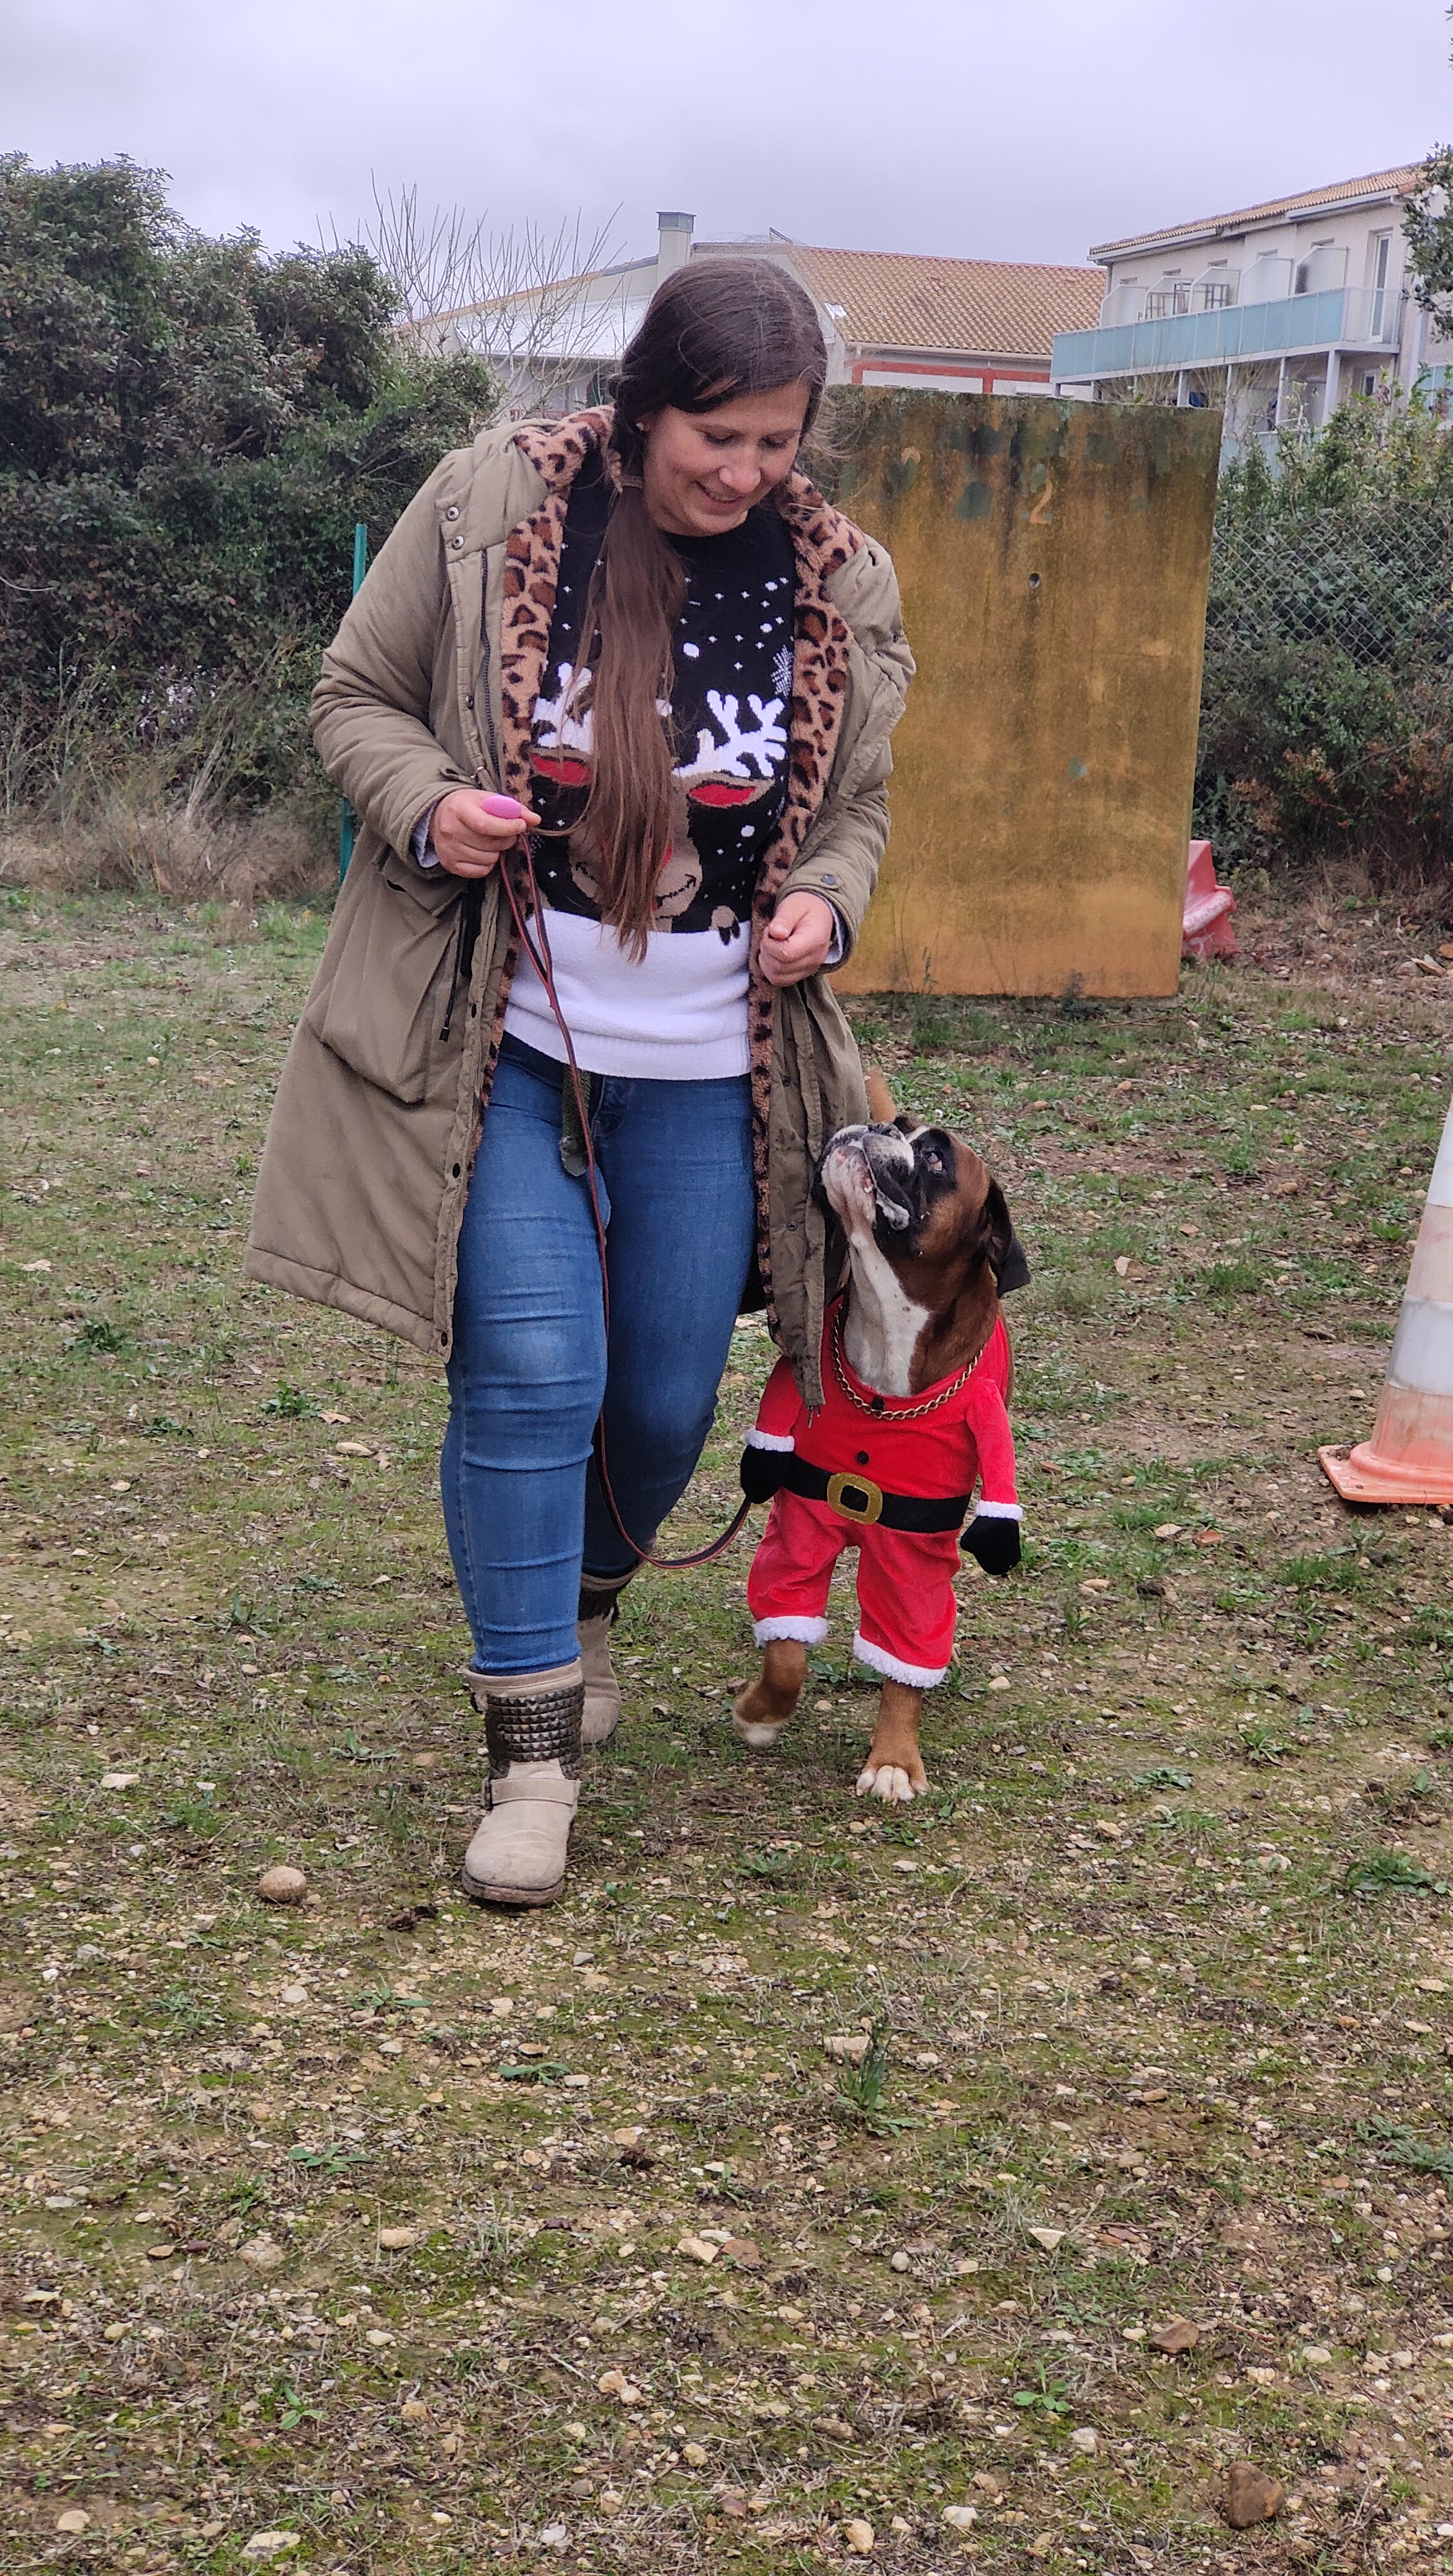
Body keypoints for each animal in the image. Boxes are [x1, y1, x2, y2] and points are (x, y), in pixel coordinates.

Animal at [733, 1074, 1028, 1803]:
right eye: (904, 1126)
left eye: (937, 1159)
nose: (877, 1128)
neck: (892, 1319)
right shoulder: (800, 1529)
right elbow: (787, 1646)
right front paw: (761, 1712)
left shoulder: (914, 1560)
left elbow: (906, 1661)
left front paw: (894, 1758)